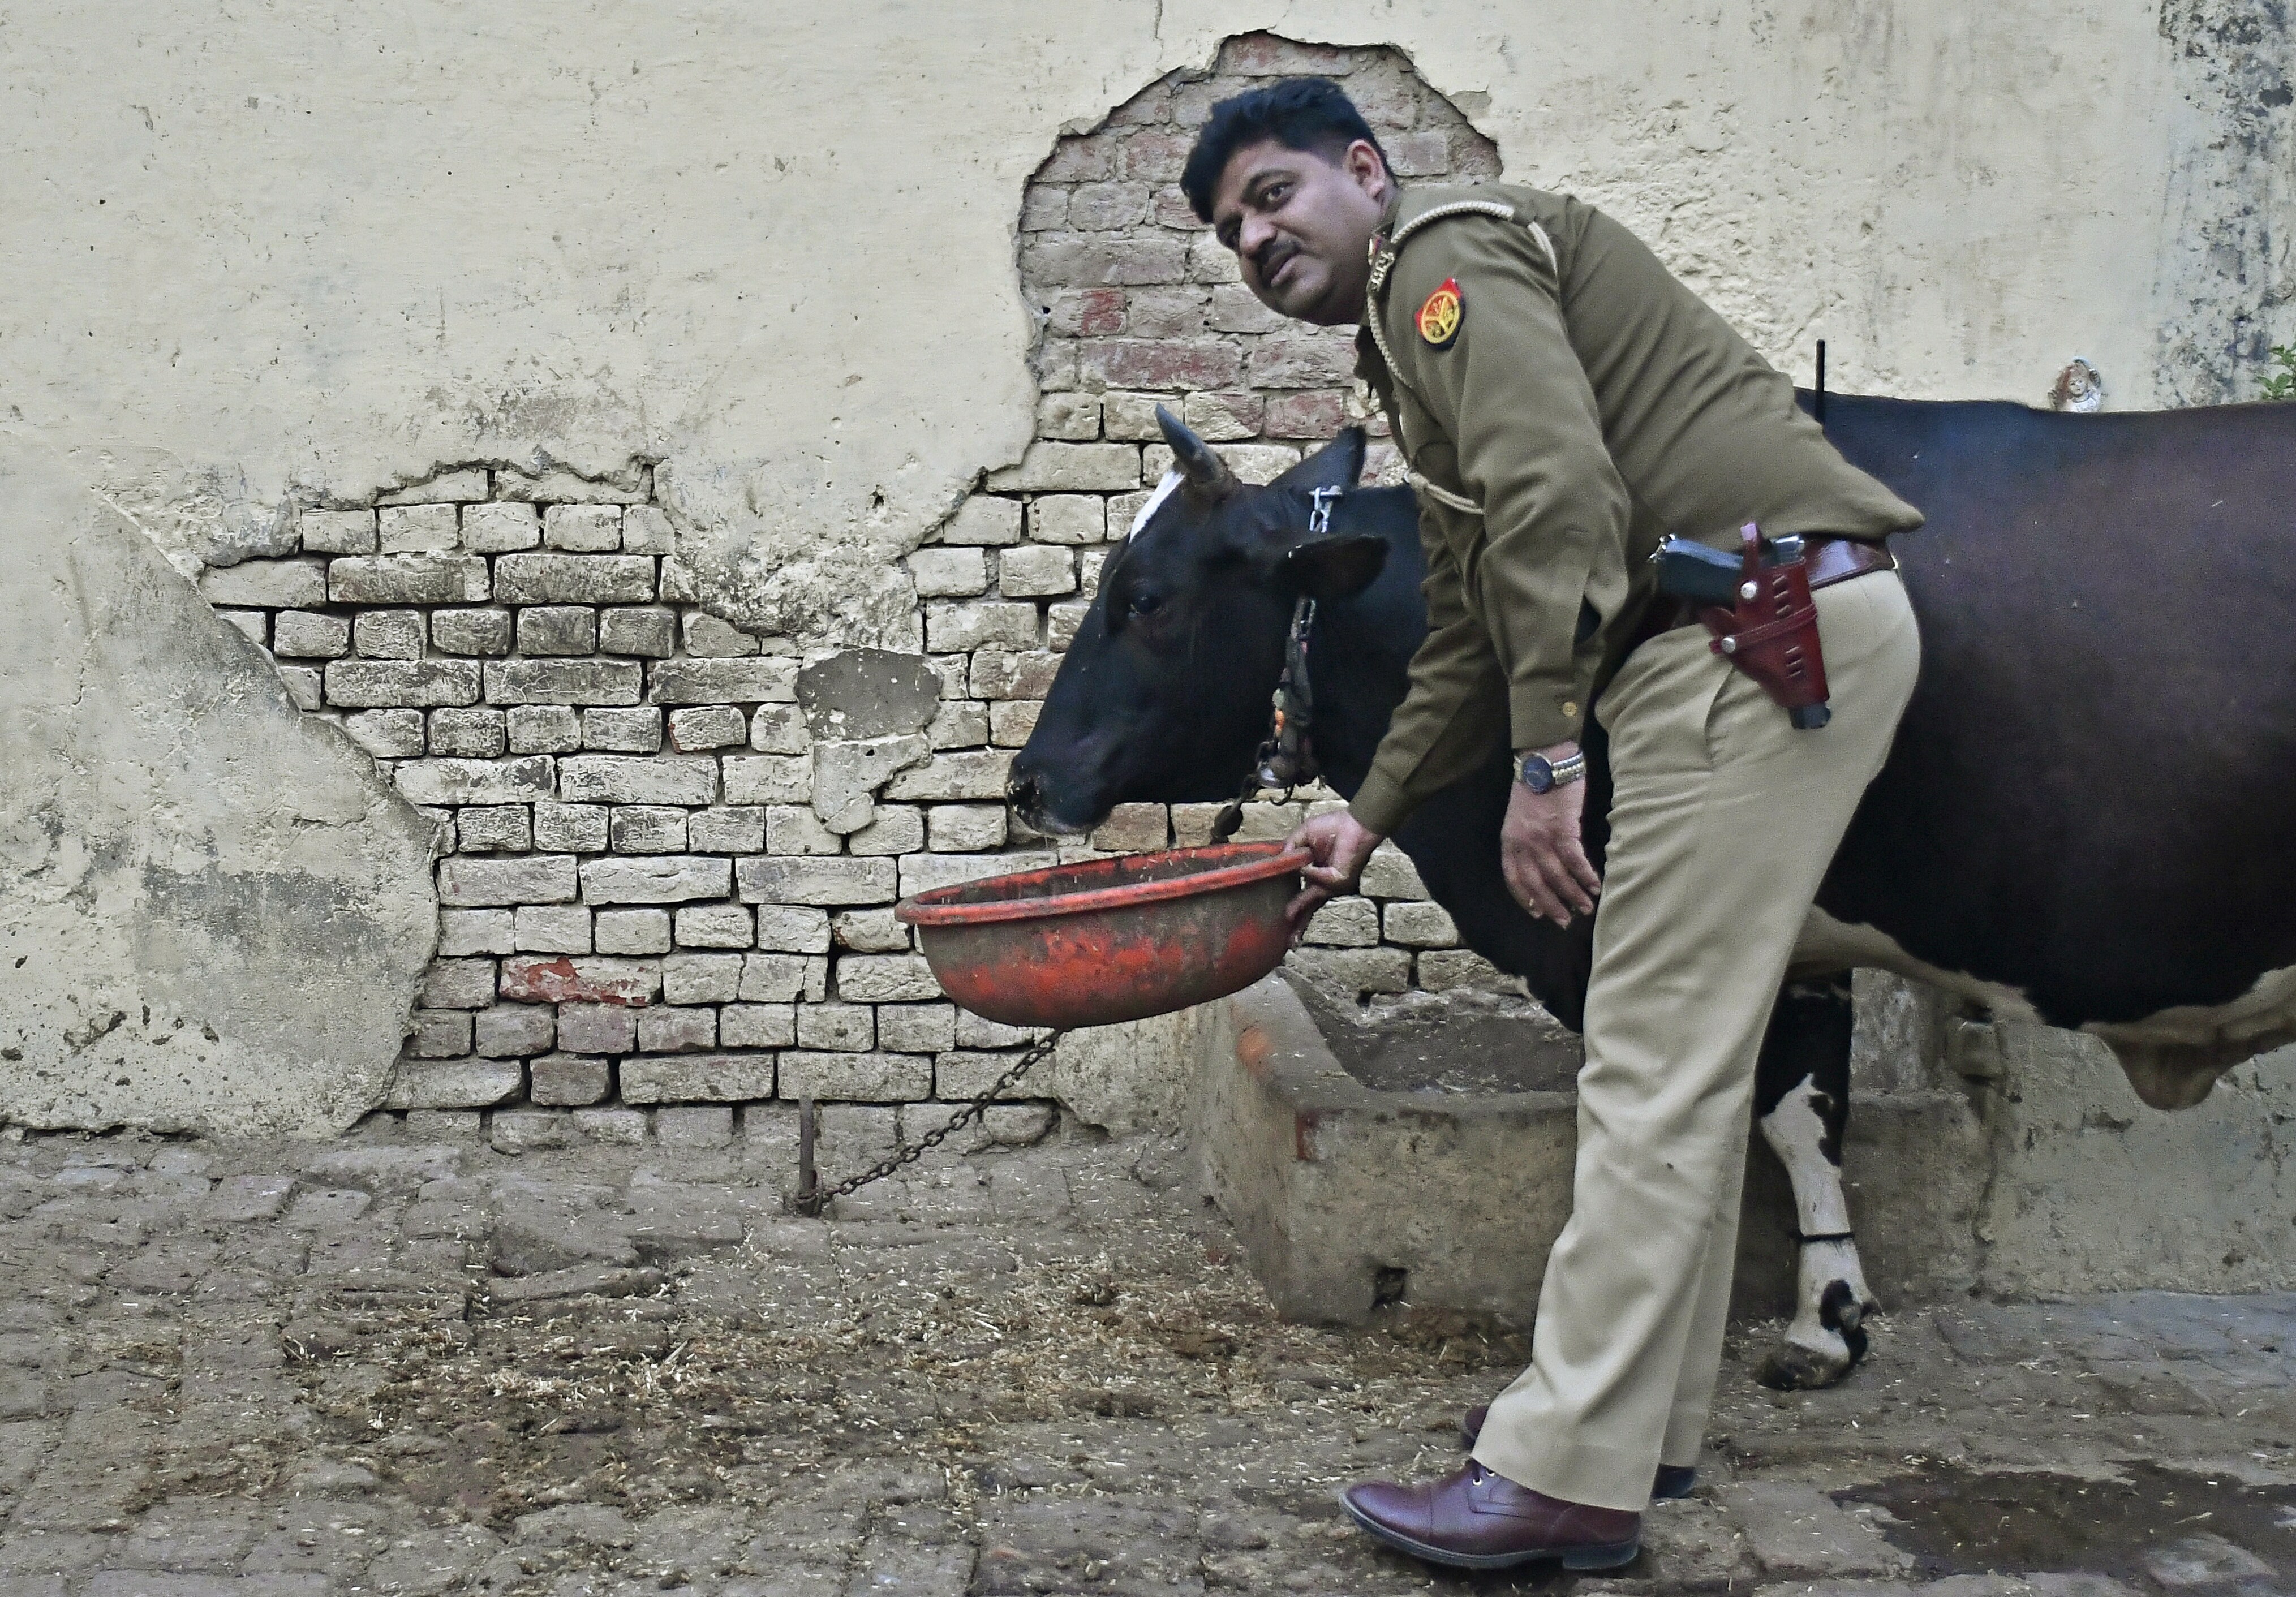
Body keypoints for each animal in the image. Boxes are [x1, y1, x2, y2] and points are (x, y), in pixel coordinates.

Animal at [1007, 396, 2296, 1390]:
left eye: (1146, 598)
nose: (1028, 778)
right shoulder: (1799, 939)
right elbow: (1806, 1108)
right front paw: (1827, 1318)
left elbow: (1687, 1125)